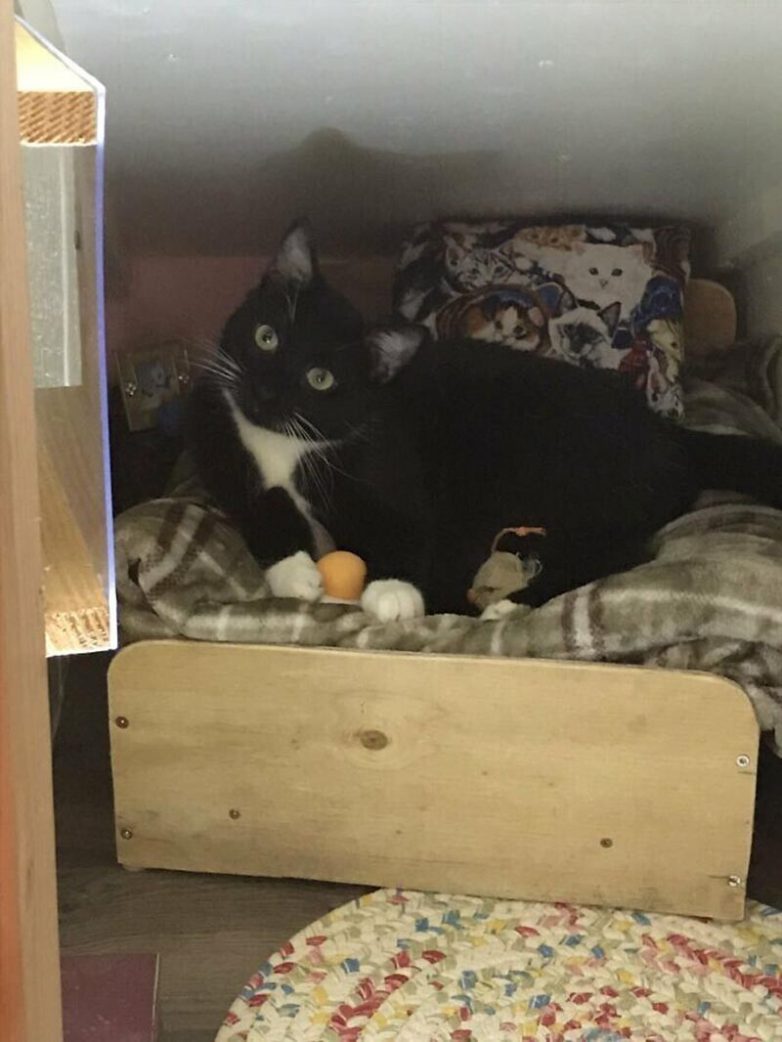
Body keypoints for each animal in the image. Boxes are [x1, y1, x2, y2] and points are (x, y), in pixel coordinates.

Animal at [189, 221, 782, 622]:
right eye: (266, 337)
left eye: (320, 379)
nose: (264, 392)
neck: (285, 445)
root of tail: (665, 430)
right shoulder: (220, 449)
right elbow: (256, 504)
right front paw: (294, 569)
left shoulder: (388, 465)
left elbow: (406, 526)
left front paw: (393, 591)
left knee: (623, 550)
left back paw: (512, 604)